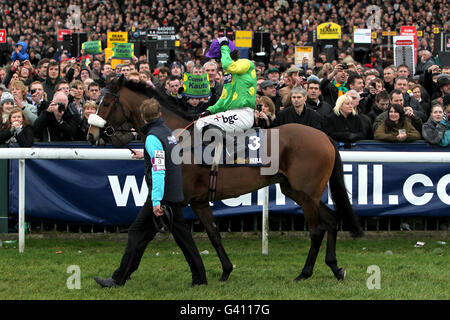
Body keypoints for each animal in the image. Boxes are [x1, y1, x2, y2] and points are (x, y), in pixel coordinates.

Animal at [88, 75, 362, 282]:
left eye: (105, 103)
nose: (91, 134)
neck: (179, 139)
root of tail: (324, 137)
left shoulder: (176, 200)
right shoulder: (198, 201)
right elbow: (213, 234)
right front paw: (225, 271)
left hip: (306, 194)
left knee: (317, 230)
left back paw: (305, 273)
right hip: (297, 190)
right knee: (331, 220)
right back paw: (335, 267)